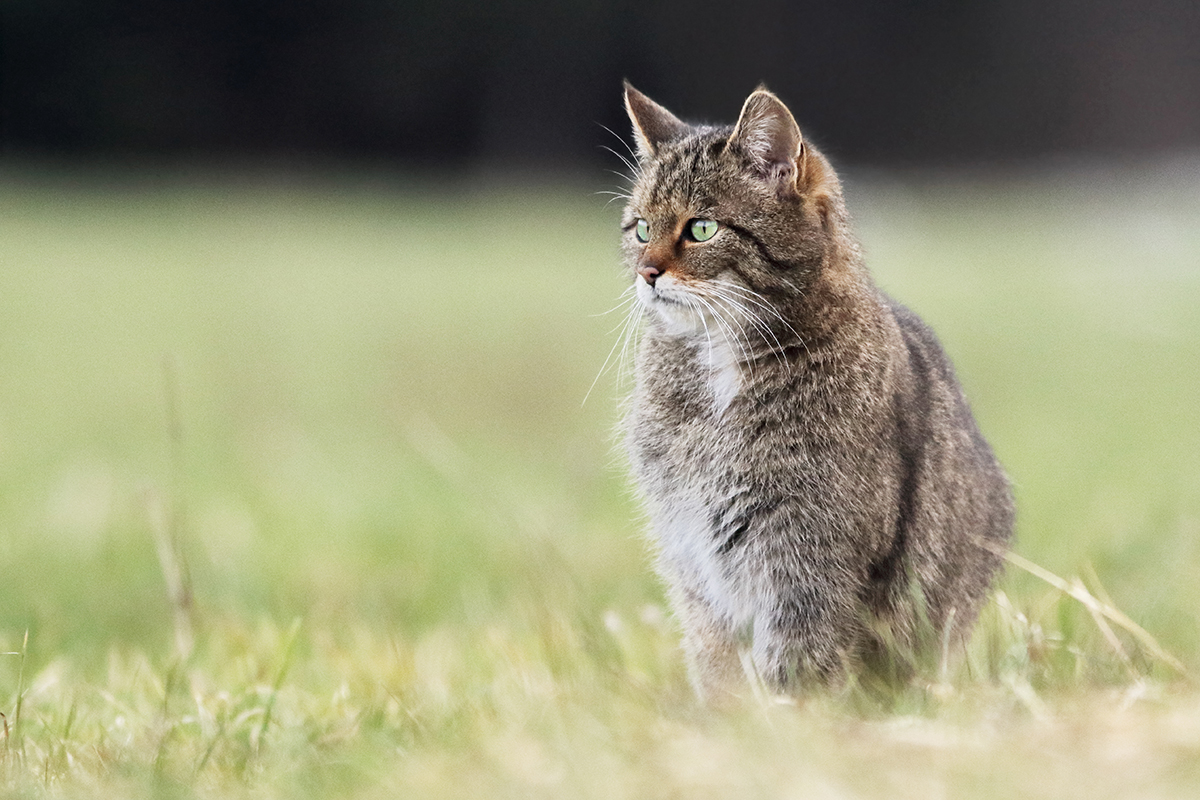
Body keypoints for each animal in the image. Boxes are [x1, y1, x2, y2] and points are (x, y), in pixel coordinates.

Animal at [619, 84, 1012, 705]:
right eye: (639, 228)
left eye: (701, 228)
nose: (646, 272)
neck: (719, 365)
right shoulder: (694, 555)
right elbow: (717, 665)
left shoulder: (808, 558)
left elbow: (798, 664)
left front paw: (794, 722)